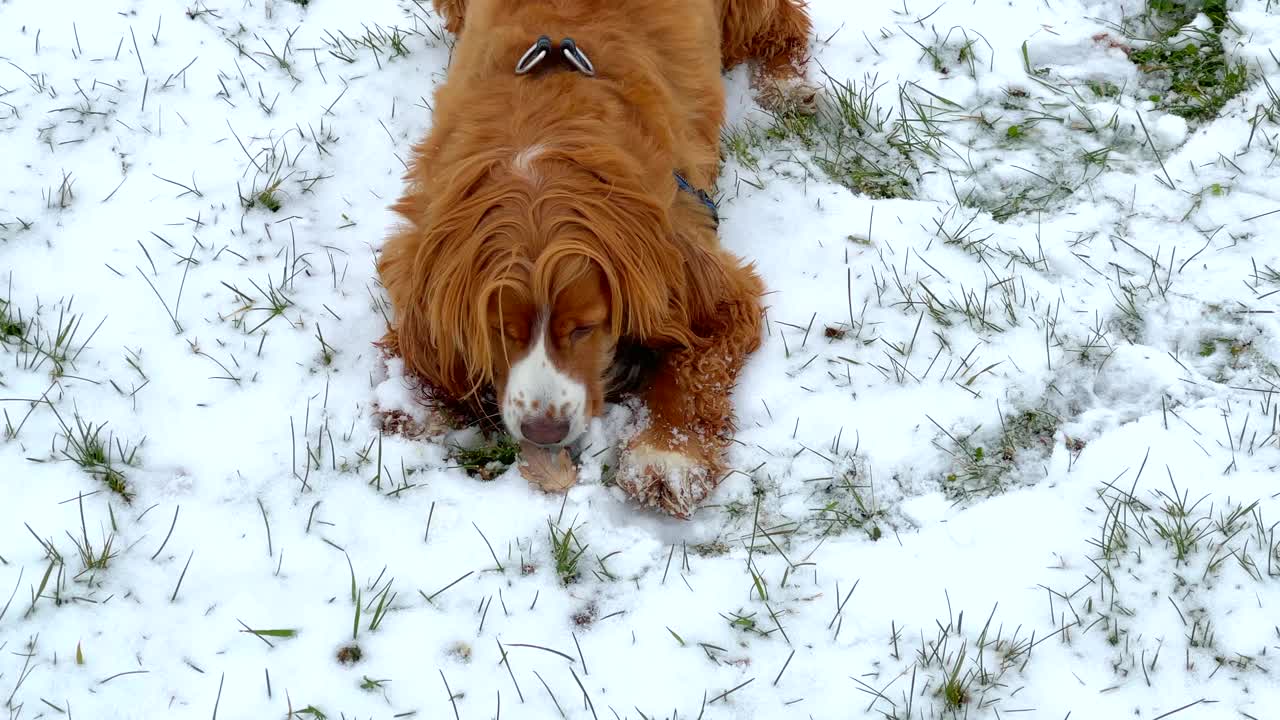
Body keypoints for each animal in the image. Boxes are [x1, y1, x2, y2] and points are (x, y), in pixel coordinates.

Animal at [376, 0, 808, 515]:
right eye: (502, 330)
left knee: (785, 24)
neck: (539, 149)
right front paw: (412, 402)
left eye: (585, 327)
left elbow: (694, 369)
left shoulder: (696, 274)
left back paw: (787, 87)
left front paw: (667, 456)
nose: (546, 432)